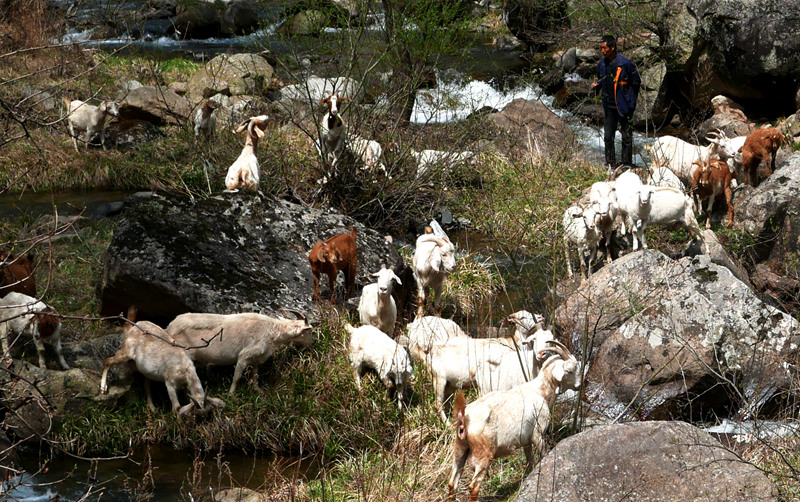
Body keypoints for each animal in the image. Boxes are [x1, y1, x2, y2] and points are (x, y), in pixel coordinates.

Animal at [446, 340, 580, 500]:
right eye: (571, 370)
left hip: (460, 448)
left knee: (452, 484)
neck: (540, 391)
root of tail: (464, 418)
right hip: (483, 453)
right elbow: (542, 455)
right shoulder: (537, 434)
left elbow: (530, 461)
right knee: (473, 487)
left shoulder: (526, 441)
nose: (579, 385)